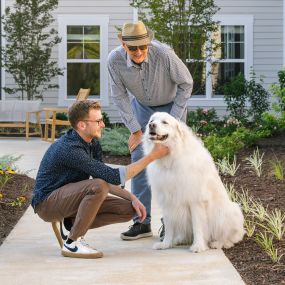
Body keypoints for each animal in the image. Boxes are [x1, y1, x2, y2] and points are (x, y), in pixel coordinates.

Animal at [142, 111, 244, 251]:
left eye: (164, 122)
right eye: (152, 120)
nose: (151, 125)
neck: (171, 159)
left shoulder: (195, 200)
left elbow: (197, 226)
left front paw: (198, 246)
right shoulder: (168, 201)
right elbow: (169, 226)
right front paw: (165, 244)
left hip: (228, 212)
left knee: (231, 237)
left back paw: (218, 243)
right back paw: (178, 240)